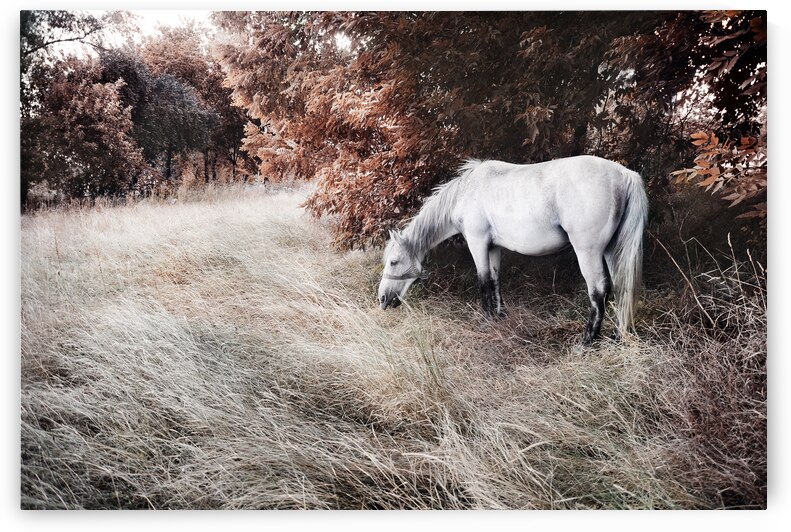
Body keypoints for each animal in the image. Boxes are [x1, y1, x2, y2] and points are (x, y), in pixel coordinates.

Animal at [377, 155, 648, 344]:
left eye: (394, 262)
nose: (381, 299)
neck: (466, 192)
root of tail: (624, 174)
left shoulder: (477, 243)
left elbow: (483, 282)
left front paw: (486, 322)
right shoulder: (493, 247)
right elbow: (495, 280)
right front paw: (499, 317)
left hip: (588, 252)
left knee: (598, 292)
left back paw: (587, 342)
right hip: (611, 251)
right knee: (621, 287)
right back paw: (617, 336)